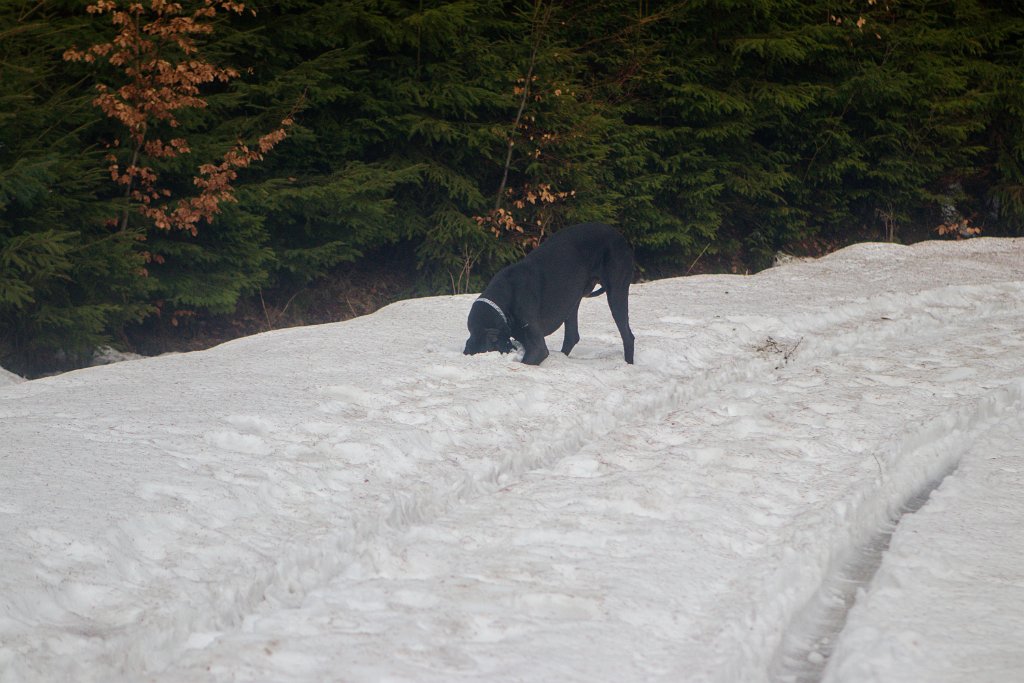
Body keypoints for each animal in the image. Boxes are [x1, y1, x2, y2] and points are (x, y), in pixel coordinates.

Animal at [462, 223, 630, 362]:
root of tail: (619, 235)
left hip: (616, 293)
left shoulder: (538, 348)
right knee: (572, 336)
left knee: (628, 336)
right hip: (572, 298)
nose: (510, 349)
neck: (503, 298)